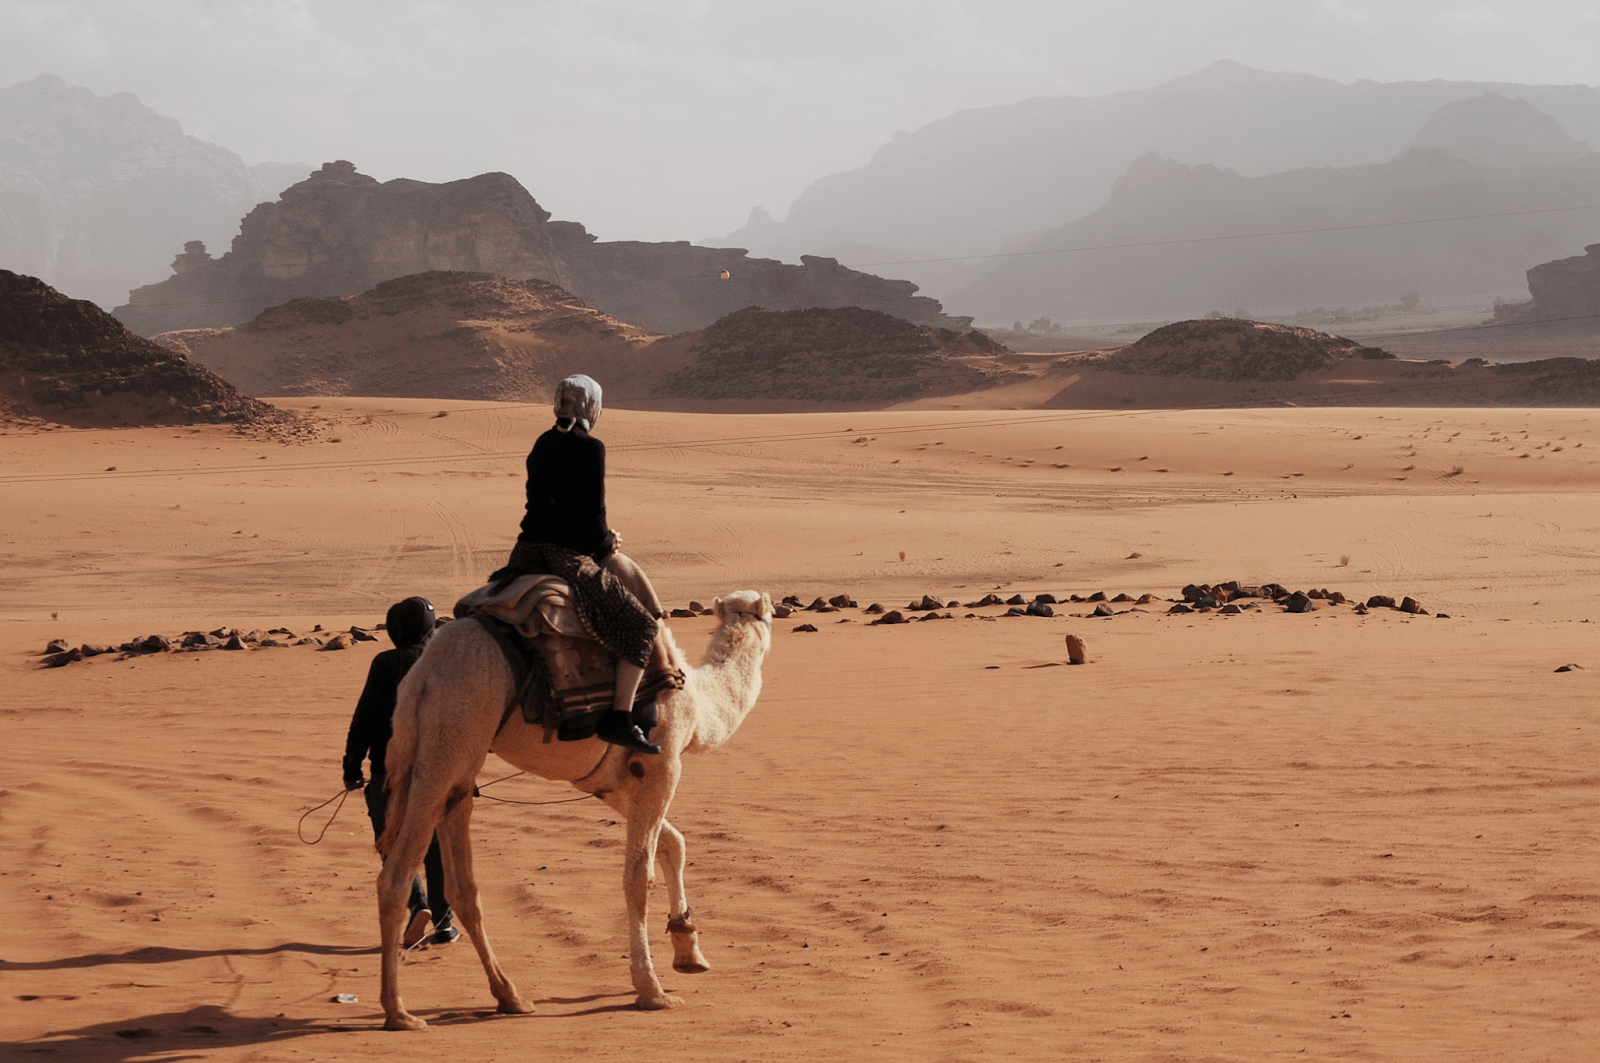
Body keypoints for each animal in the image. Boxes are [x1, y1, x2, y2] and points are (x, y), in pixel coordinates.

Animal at [374, 589, 774, 1031]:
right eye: (768, 613)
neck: (701, 706)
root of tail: (422, 675)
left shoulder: (605, 781)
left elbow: (674, 843)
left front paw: (689, 950)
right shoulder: (662, 763)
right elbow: (639, 877)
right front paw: (651, 989)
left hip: (455, 758)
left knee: (462, 884)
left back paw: (510, 995)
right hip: (452, 731)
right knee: (395, 877)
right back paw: (399, 1012)